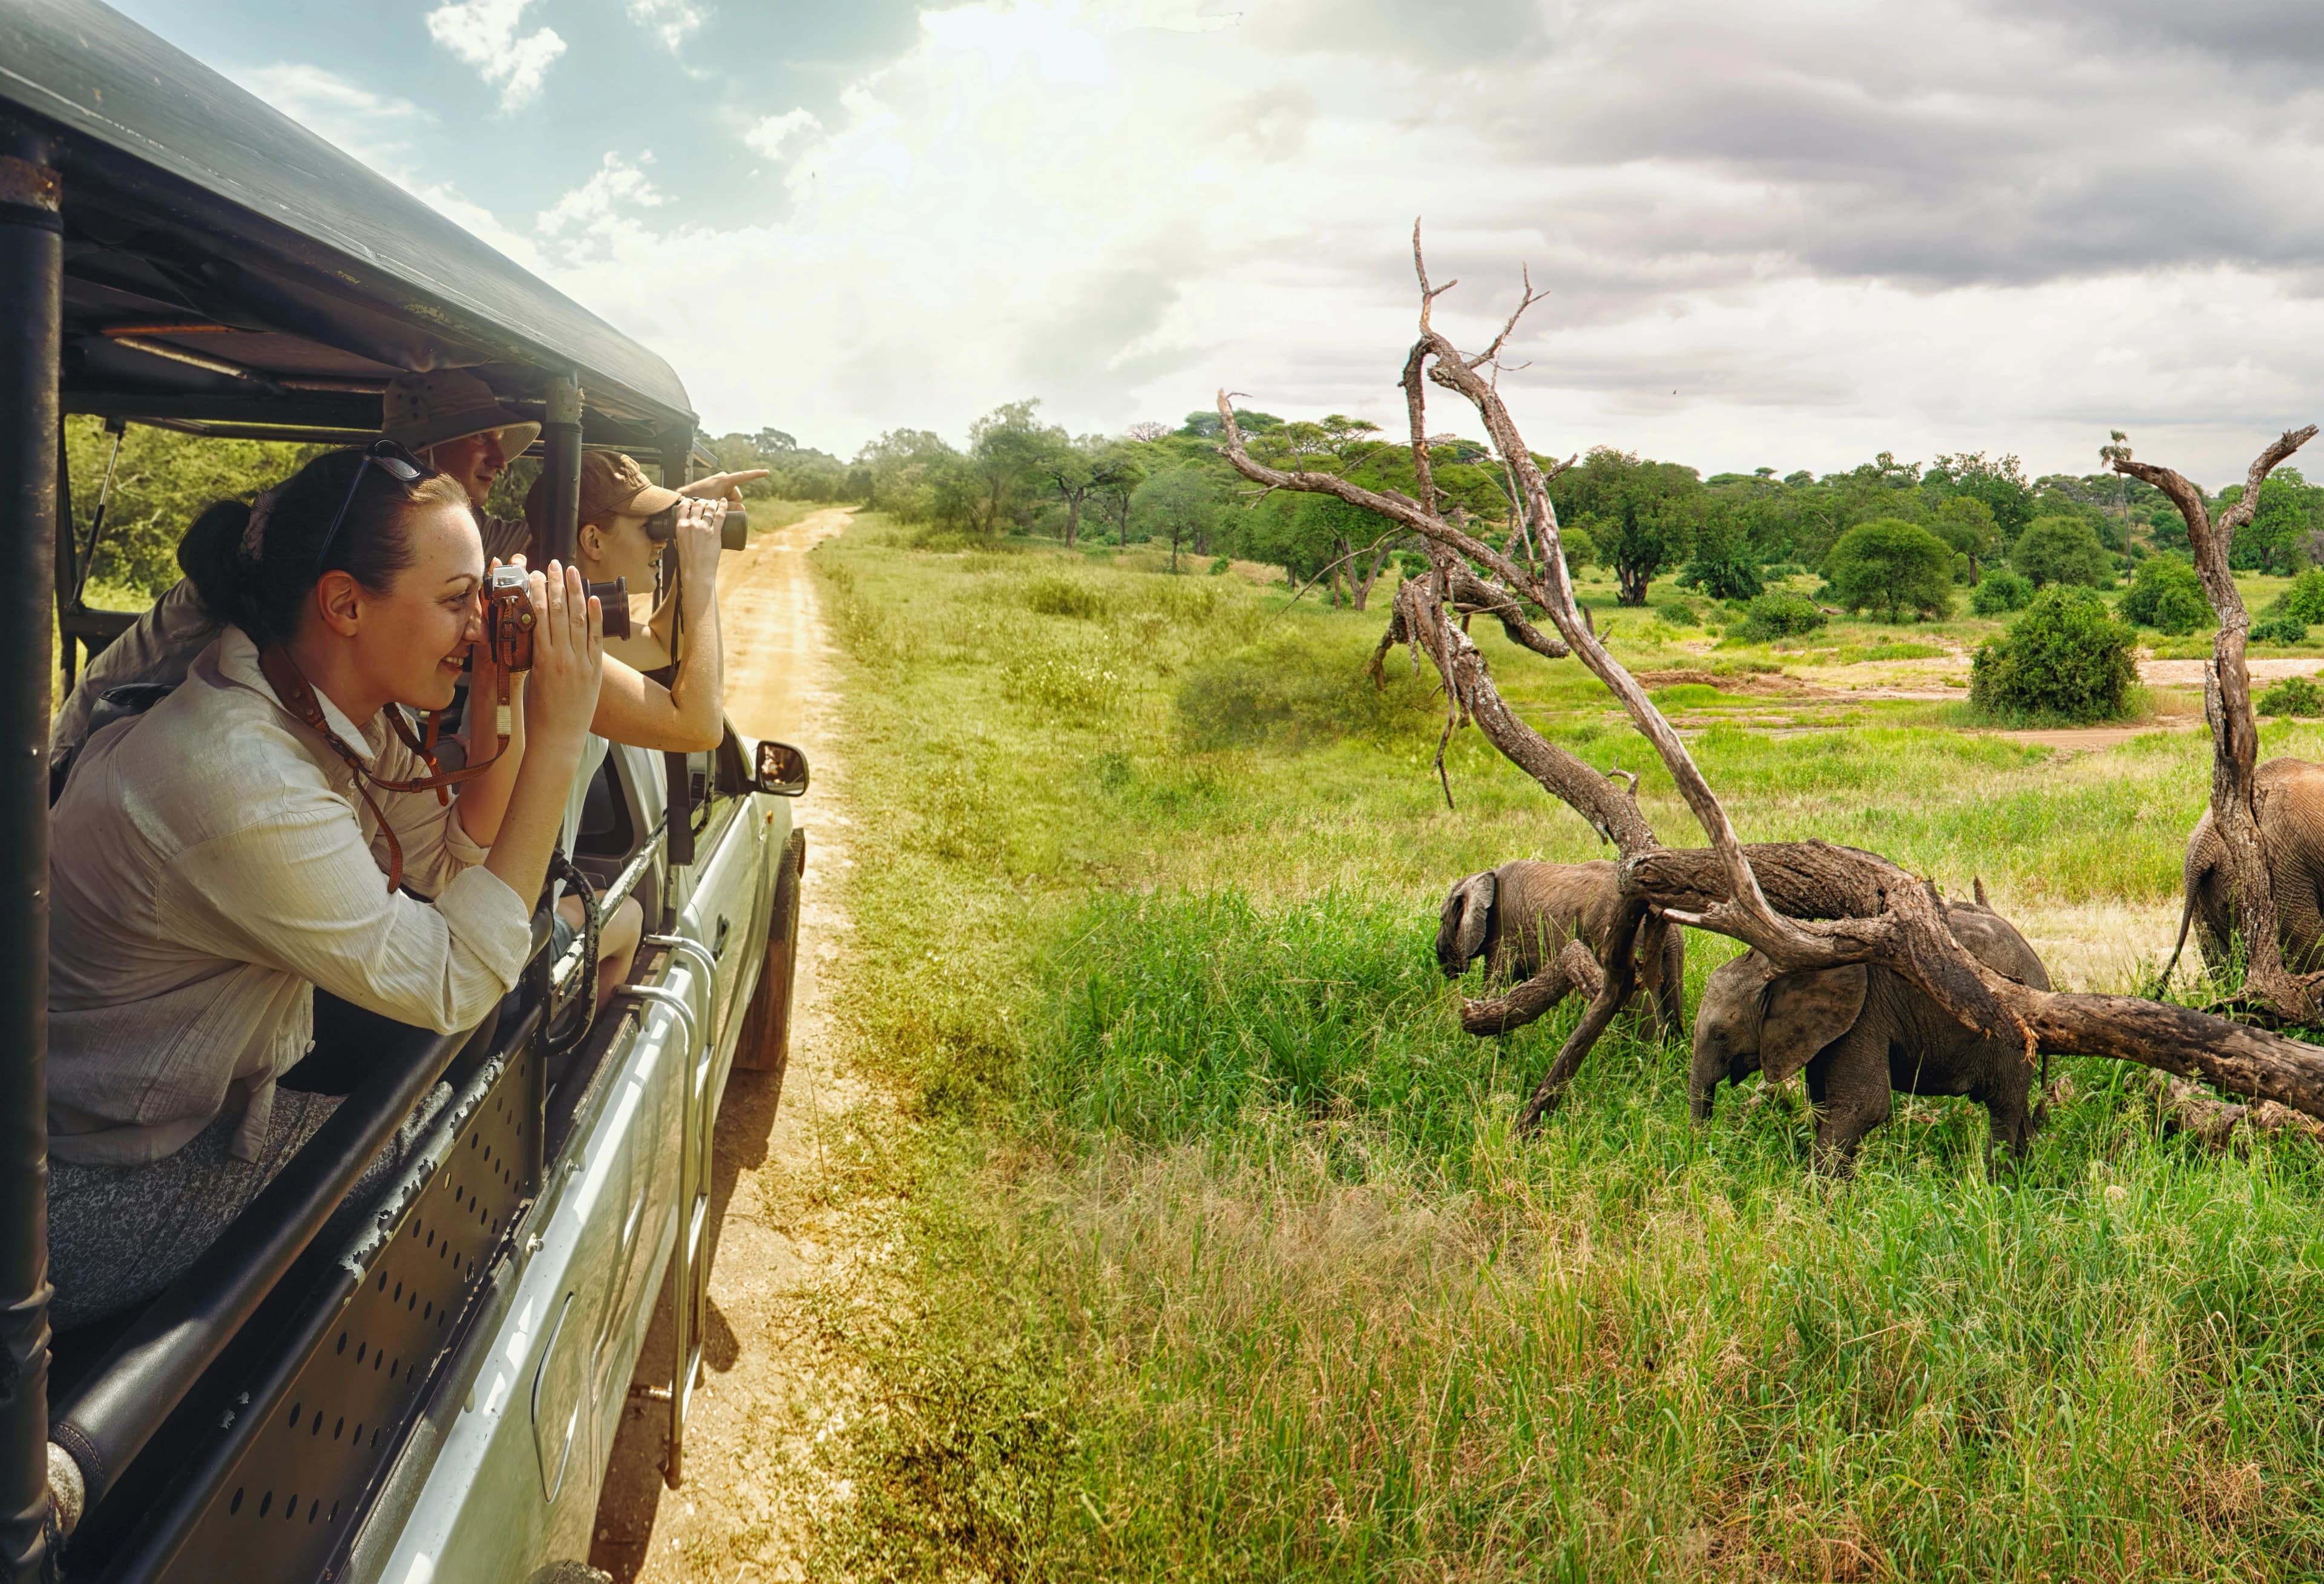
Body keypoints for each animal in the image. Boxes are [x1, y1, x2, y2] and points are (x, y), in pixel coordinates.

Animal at [1437, 859, 1685, 1034]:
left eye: (1441, 919)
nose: (1446, 969)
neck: (1485, 875)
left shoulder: (1504, 934)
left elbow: (1495, 985)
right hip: (1672, 954)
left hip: (1630, 946)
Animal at [1688, 894, 2052, 1176]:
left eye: (1720, 1035)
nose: (1702, 1152)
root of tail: (2042, 974)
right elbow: (1823, 1104)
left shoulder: (1863, 1019)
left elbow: (1865, 1107)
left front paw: (1815, 1198)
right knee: (2017, 1109)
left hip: (2009, 1038)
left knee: (2003, 1109)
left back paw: (1997, 1186)